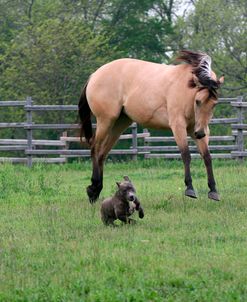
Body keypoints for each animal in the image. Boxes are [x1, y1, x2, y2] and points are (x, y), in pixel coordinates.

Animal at [78, 50, 224, 202]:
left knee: (102, 154)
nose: (200, 133)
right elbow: (186, 155)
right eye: (198, 101)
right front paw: (189, 188)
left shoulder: (199, 129)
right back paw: (93, 189)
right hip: (105, 121)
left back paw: (96, 189)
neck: (186, 87)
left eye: (214, 104)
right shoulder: (178, 126)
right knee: (95, 149)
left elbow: (207, 157)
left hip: (119, 124)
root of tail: (95, 75)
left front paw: (213, 190)